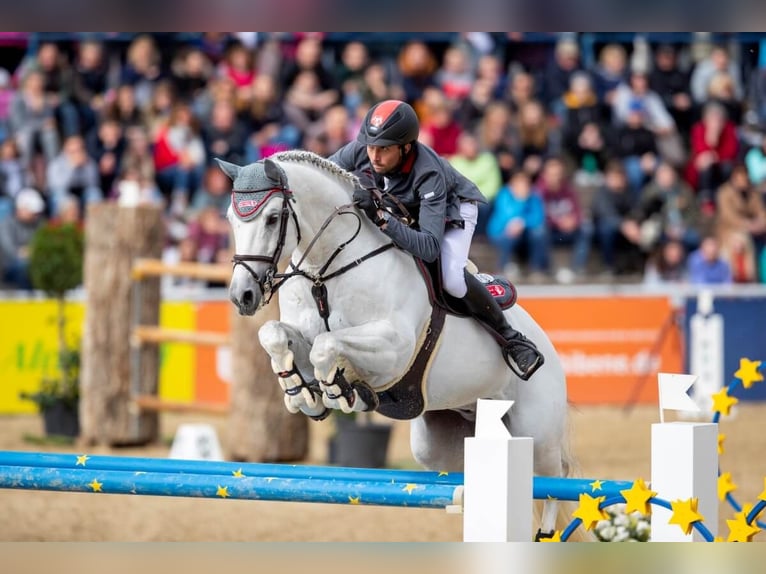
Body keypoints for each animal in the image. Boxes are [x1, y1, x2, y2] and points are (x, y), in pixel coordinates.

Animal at [219, 152, 572, 540]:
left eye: (272, 218)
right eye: (231, 218)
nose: (242, 296)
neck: (328, 267)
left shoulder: (393, 349)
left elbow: (326, 345)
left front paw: (340, 393)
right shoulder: (300, 331)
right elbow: (275, 335)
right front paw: (302, 394)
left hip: (537, 432)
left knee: (555, 479)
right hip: (441, 445)